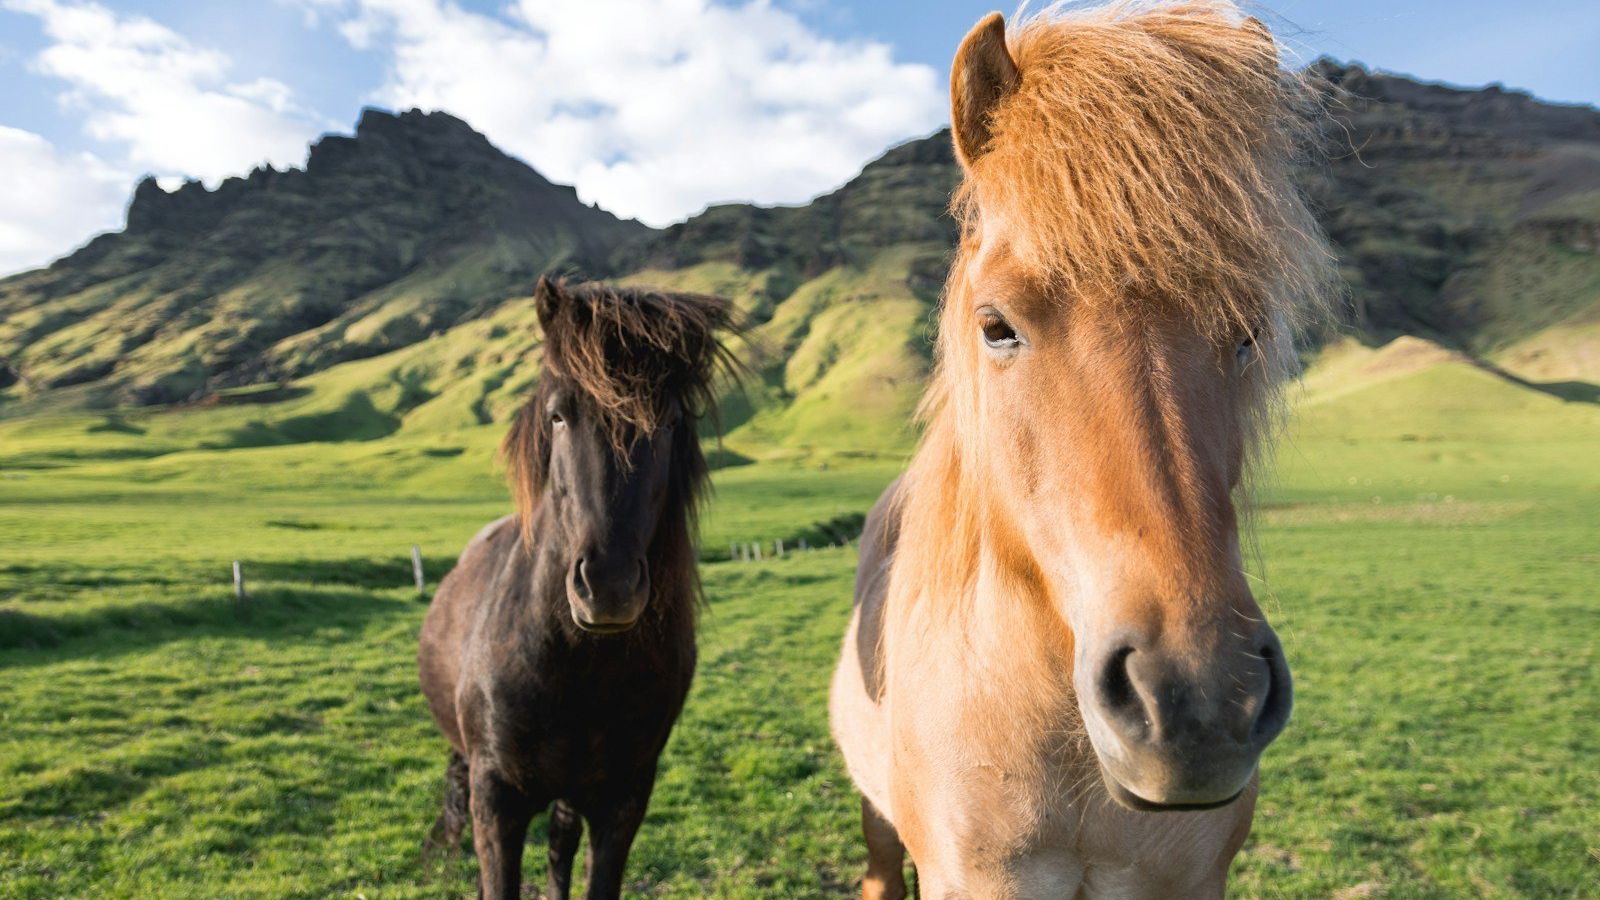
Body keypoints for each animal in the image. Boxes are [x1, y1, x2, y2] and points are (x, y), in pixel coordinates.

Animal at [418, 276, 739, 899]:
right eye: (559, 416)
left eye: (669, 422)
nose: (608, 587)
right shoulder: (495, 800)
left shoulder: (624, 799)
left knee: (560, 847)